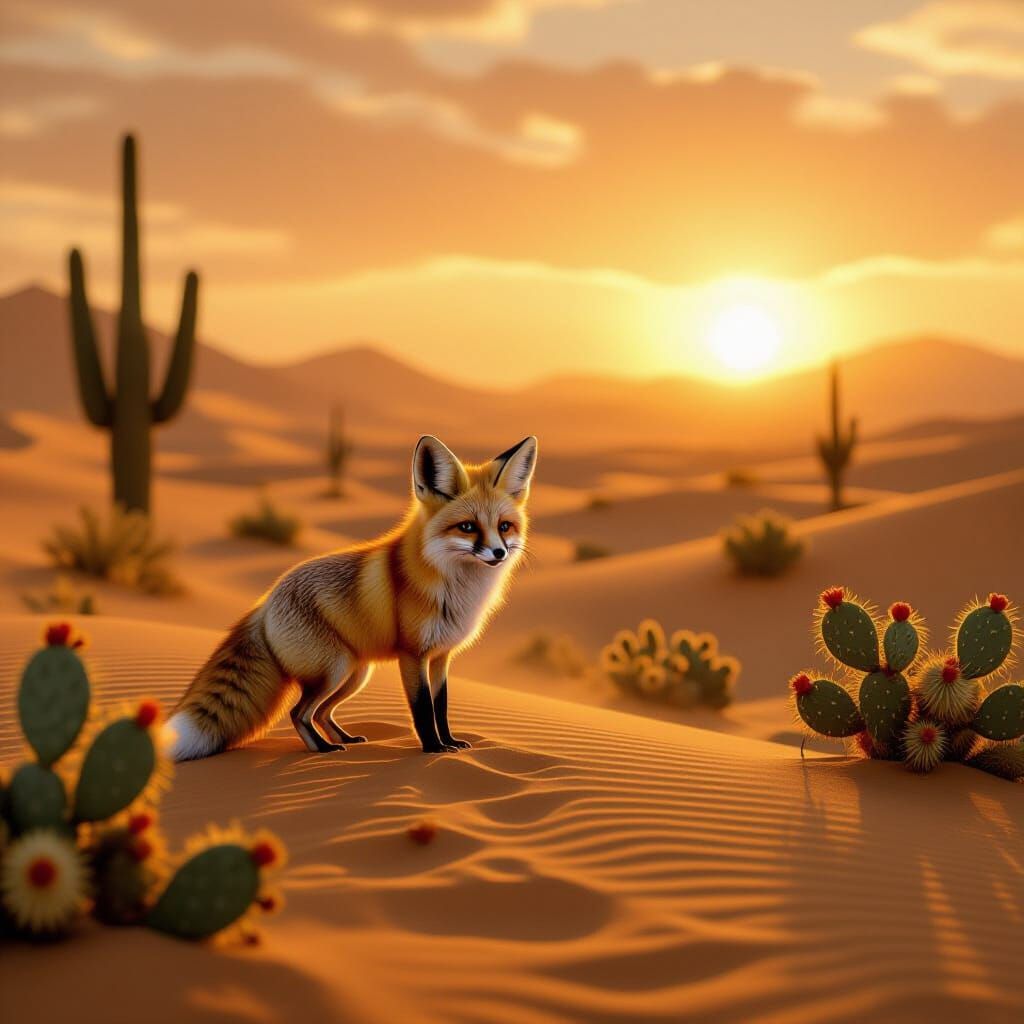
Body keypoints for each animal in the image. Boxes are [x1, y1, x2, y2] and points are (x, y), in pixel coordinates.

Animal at [168, 434, 537, 761]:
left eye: (504, 526)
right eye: (467, 527)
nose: (499, 553)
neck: (456, 588)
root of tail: (267, 598)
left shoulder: (441, 657)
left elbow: (442, 708)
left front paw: (450, 742)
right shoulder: (413, 654)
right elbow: (422, 710)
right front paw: (433, 749)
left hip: (355, 675)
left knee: (320, 713)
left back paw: (344, 738)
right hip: (334, 670)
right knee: (299, 713)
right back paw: (323, 749)